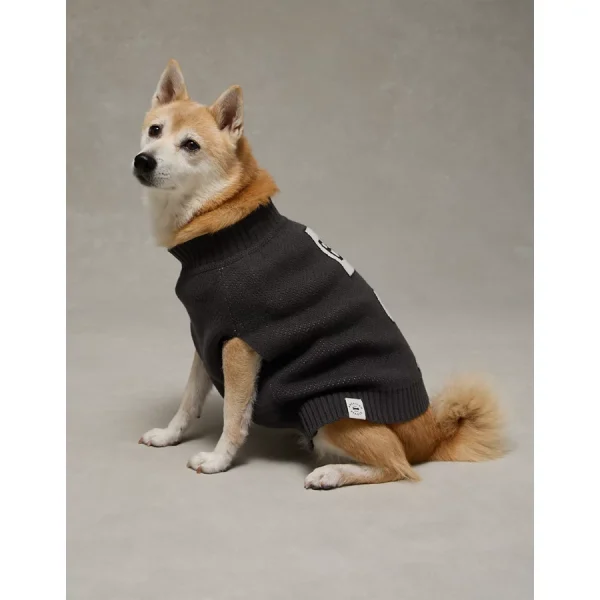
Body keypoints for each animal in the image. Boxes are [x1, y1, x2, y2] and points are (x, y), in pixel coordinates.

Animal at [133, 59, 504, 490]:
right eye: (155, 130)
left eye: (190, 145)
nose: (143, 160)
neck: (226, 225)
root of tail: (432, 437)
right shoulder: (208, 335)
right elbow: (189, 399)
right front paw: (168, 435)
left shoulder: (240, 346)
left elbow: (234, 416)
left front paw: (218, 460)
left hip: (335, 413)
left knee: (399, 467)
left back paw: (331, 473)